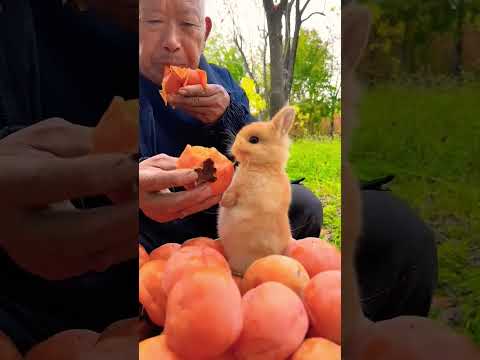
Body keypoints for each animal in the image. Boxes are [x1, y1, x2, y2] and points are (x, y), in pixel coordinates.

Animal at [218, 105, 296, 274]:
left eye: (253, 140)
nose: (234, 147)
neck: (263, 167)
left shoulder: (238, 186)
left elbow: (231, 194)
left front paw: (223, 202)